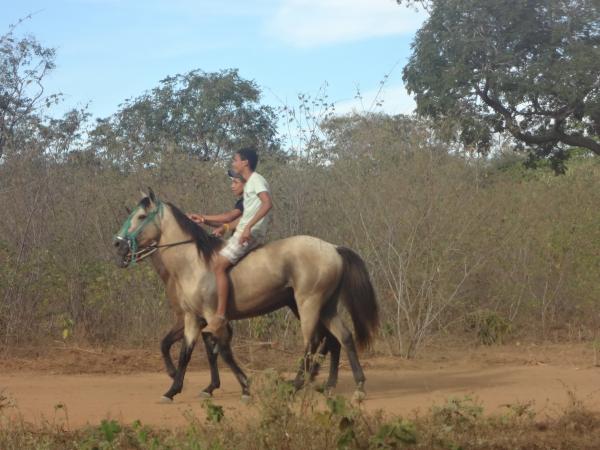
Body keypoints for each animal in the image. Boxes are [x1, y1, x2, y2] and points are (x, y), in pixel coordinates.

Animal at [114, 189, 378, 400]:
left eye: (140, 216)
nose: (118, 245)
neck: (192, 263)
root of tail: (333, 248)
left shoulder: (213, 318)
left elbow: (222, 352)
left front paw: (243, 386)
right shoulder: (192, 319)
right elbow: (185, 353)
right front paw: (173, 390)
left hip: (309, 305)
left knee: (313, 341)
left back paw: (296, 384)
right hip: (326, 307)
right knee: (342, 338)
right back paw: (351, 386)